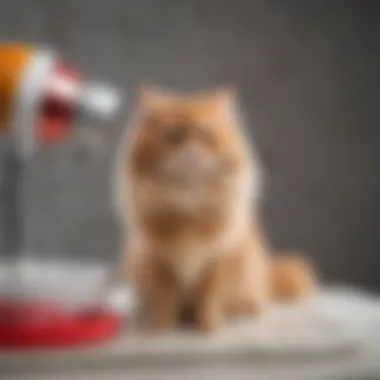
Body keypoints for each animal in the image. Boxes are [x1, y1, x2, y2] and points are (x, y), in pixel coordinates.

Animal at [115, 85, 314, 330]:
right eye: (173, 135)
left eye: (204, 135)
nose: (190, 148)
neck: (188, 209)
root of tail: (266, 272)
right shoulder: (156, 264)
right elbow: (164, 300)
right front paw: (161, 327)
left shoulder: (221, 261)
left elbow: (209, 298)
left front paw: (209, 327)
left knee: (254, 303)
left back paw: (238, 313)